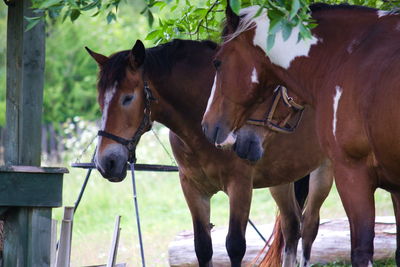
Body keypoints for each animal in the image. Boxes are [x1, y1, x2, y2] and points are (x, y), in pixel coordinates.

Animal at [89, 38, 332, 266]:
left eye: (128, 98)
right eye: (100, 99)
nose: (106, 162)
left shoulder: (240, 186)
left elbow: (235, 246)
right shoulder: (192, 188)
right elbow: (203, 247)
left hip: (323, 172)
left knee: (309, 227)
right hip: (281, 179)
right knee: (291, 227)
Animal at [202, 3, 400, 267]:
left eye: (217, 62)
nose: (207, 125)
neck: (348, 58)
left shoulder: (352, 172)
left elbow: (360, 252)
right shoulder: (396, 186)